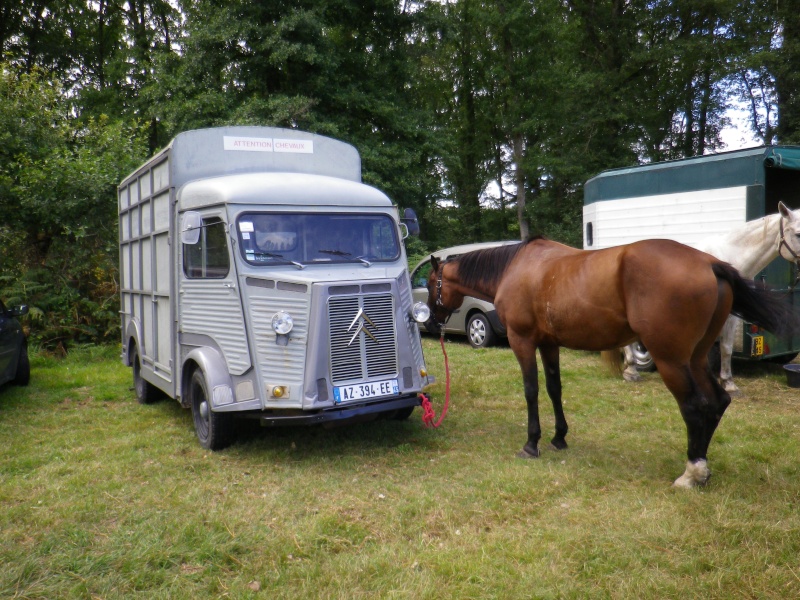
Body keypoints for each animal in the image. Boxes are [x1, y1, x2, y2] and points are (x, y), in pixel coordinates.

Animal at [424, 236, 792, 488]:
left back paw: (691, 472)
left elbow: (531, 391)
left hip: (672, 360)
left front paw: (532, 443)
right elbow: (554, 388)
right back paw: (702, 466)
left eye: (430, 283)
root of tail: (709, 263)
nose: (430, 320)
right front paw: (559, 437)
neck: (516, 268)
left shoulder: (523, 341)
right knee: (718, 401)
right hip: (697, 357)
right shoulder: (549, 344)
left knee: (694, 405)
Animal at [620, 204, 800, 396]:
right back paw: (631, 371)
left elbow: (726, 348)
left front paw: (729, 384)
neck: (732, 257)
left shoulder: (732, 315)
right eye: (798, 234)